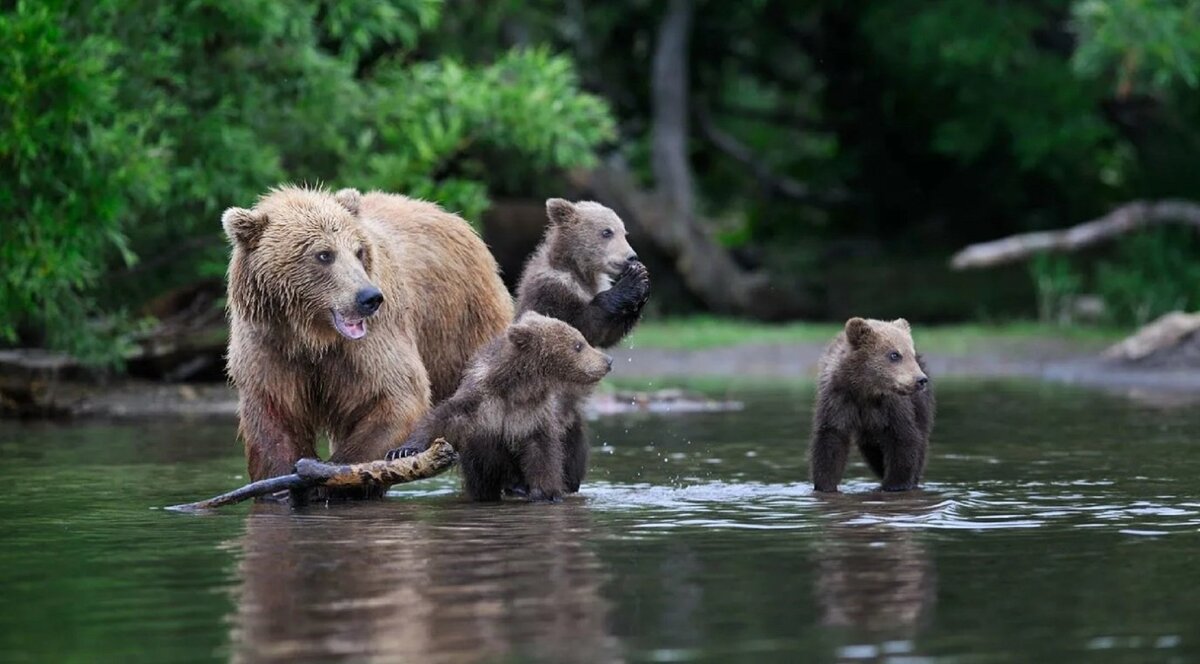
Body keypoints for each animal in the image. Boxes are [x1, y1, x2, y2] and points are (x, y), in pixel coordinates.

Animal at [223, 183, 513, 485]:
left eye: (358, 251)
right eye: (324, 254)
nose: (369, 297)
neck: (311, 337)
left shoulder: (370, 343)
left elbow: (397, 396)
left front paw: (330, 475)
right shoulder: (270, 347)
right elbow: (274, 421)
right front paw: (283, 482)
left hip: (463, 322)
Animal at [386, 312, 614, 499]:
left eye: (581, 340)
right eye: (578, 345)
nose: (608, 361)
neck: (518, 389)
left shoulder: (535, 416)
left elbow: (544, 454)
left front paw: (546, 492)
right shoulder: (481, 406)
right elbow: (443, 419)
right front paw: (403, 450)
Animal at [513, 196, 652, 492]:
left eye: (624, 232)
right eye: (606, 231)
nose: (631, 257)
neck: (579, 271)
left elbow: (605, 335)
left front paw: (642, 283)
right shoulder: (551, 293)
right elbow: (581, 325)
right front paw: (632, 283)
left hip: (573, 425)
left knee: (574, 455)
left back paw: (569, 482)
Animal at [806, 316, 936, 492]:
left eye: (911, 354)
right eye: (894, 354)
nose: (921, 380)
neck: (866, 389)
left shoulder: (893, 406)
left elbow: (904, 439)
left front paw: (895, 484)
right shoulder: (838, 400)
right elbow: (831, 440)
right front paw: (825, 485)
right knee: (872, 448)